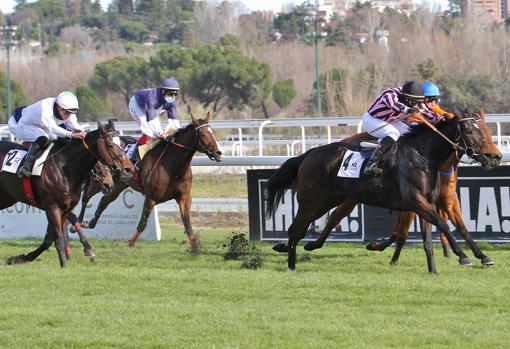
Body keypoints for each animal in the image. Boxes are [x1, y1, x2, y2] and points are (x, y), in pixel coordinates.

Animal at [0, 121, 133, 266]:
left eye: (123, 145)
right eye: (109, 145)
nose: (129, 169)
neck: (64, 168)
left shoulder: (65, 208)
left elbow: (49, 239)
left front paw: (21, 258)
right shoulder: (52, 207)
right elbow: (59, 236)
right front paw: (65, 264)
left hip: (7, 197)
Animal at [81, 113, 223, 251]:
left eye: (214, 133)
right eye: (203, 134)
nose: (219, 153)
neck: (172, 167)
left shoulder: (184, 197)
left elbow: (187, 222)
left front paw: (195, 247)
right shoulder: (151, 197)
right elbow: (142, 224)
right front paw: (131, 242)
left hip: (118, 184)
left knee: (104, 201)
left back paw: (91, 223)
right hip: (101, 181)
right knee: (86, 196)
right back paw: (80, 222)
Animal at [266, 111, 498, 272]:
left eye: (485, 129)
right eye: (470, 130)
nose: (493, 156)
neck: (422, 157)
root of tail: (309, 154)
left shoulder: (428, 203)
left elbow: (431, 238)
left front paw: (435, 269)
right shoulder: (415, 202)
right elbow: (442, 224)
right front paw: (463, 256)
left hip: (328, 201)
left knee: (305, 226)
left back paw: (290, 250)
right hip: (312, 202)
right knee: (298, 229)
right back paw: (291, 265)